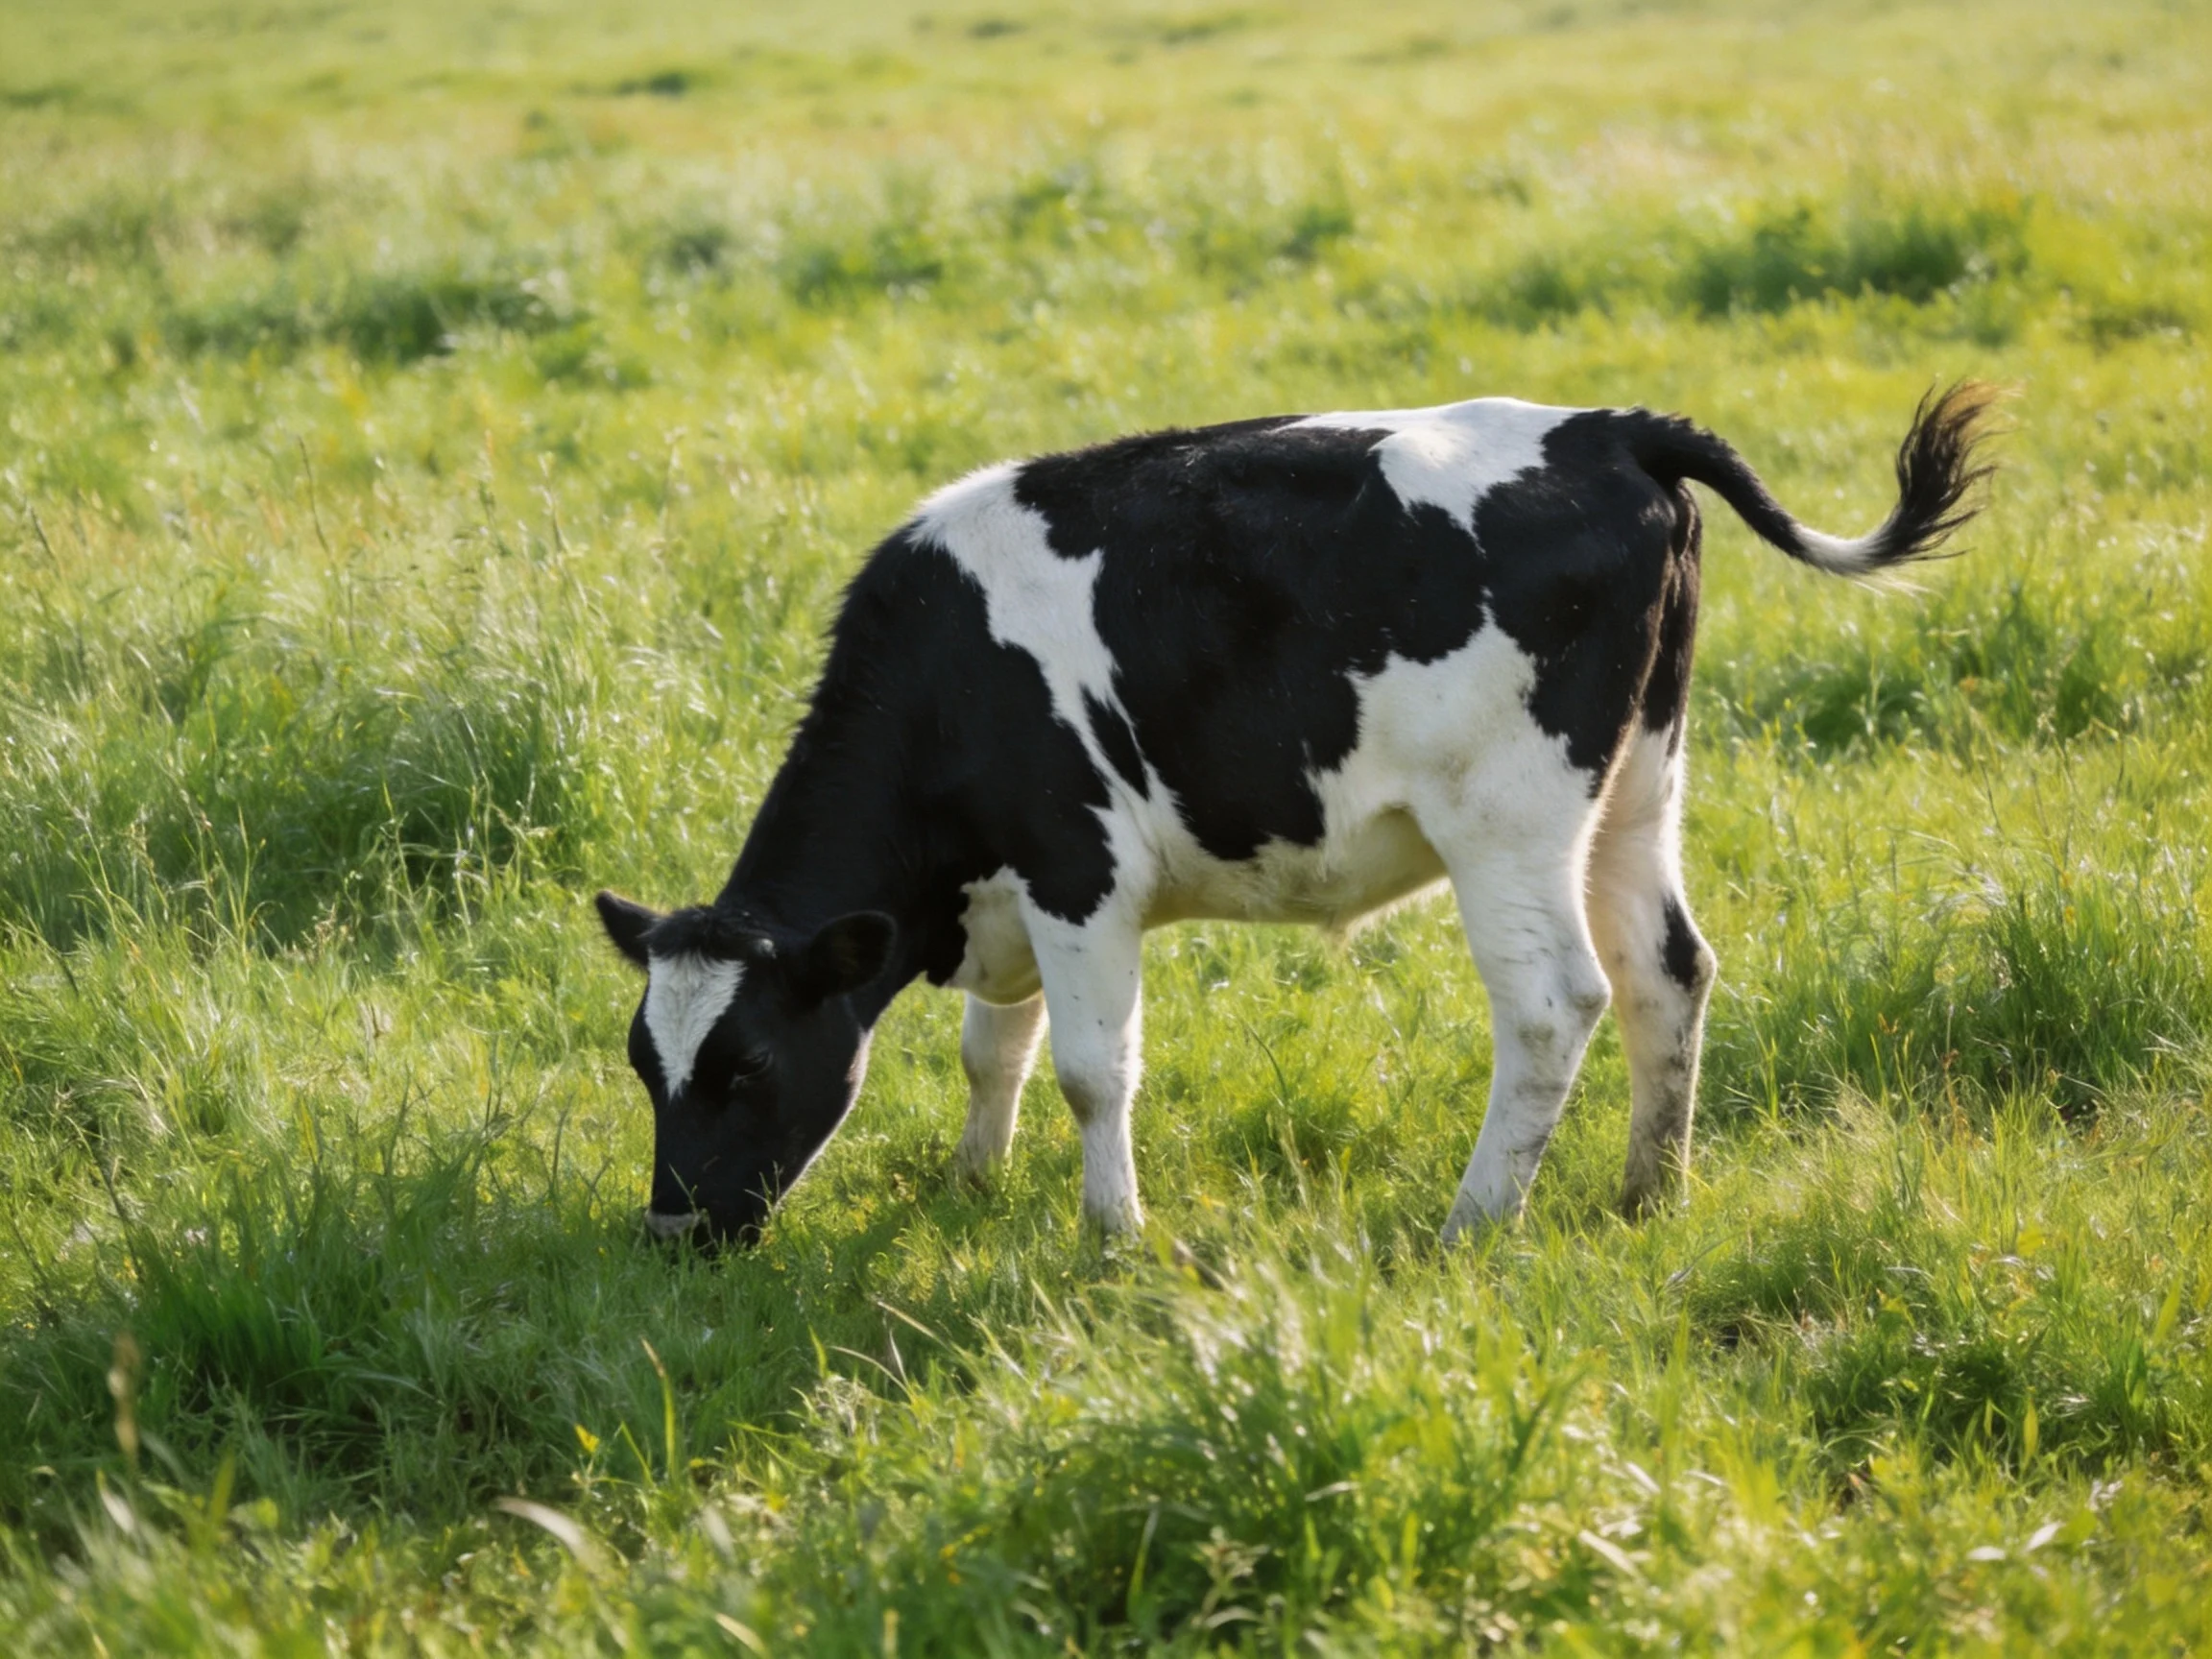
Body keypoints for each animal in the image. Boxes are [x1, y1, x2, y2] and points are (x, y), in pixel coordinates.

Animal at [595, 383, 1996, 1247]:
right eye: (643, 1064)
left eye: (745, 1064)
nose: (671, 1231)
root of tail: (1606, 430)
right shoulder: (1015, 892)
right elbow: (997, 1049)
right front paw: (970, 1184)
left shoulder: (1078, 868)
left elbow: (1093, 1068)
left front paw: (1112, 1233)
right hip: (1643, 783)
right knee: (1670, 972)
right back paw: (1649, 1195)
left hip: (1509, 819)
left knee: (1557, 1006)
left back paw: (1473, 1222)